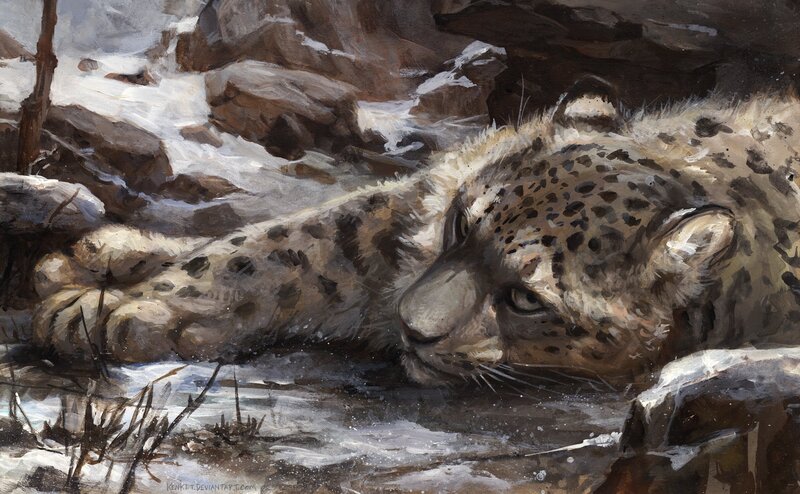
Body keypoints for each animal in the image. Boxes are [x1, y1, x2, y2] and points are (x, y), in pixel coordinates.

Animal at [29, 78, 800, 387]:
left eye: (527, 299)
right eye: (461, 222)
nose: (410, 327)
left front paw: (109, 309)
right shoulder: (388, 221)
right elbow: (273, 246)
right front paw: (106, 277)